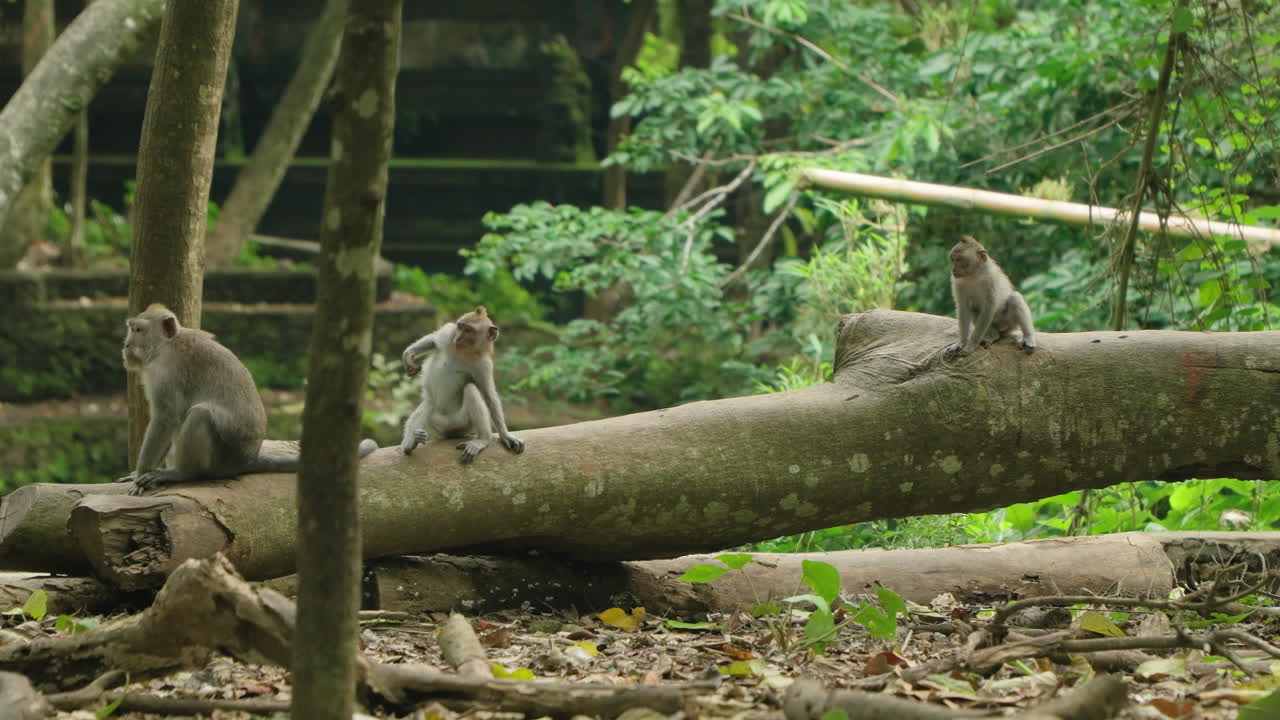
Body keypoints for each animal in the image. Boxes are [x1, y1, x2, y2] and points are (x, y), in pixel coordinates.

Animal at [117, 304, 377, 495]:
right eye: (131, 328)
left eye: (139, 330)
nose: (126, 345)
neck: (167, 345)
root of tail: (248, 459)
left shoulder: (166, 373)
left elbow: (166, 418)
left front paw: (140, 474)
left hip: (222, 459)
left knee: (201, 415)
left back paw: (181, 474)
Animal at [400, 305, 525, 463]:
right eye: (460, 327)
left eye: (468, 330)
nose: (458, 337)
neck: (464, 350)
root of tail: (452, 431)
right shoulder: (449, 334)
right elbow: (434, 340)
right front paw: (408, 355)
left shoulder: (483, 365)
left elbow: (489, 395)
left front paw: (506, 435)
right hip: (439, 422)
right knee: (429, 404)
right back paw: (410, 444)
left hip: (464, 423)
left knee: (471, 389)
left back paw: (483, 439)